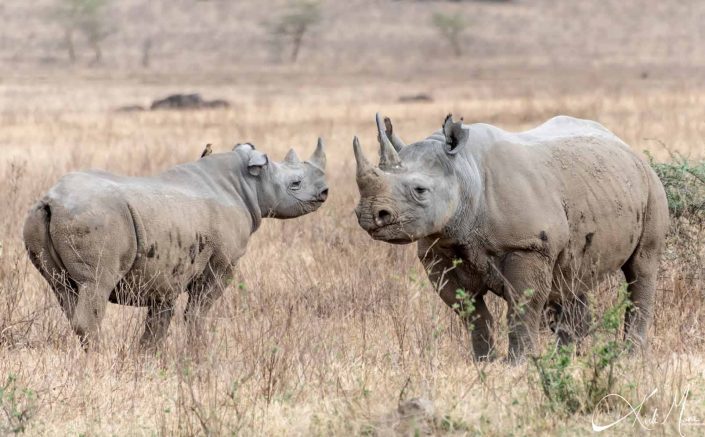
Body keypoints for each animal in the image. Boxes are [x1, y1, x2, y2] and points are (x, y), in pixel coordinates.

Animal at [23, 141, 328, 350]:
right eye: (295, 184)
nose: (325, 192)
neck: (246, 183)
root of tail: (51, 200)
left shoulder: (167, 268)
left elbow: (159, 319)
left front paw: (146, 359)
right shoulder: (222, 263)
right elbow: (197, 312)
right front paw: (199, 355)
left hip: (41, 220)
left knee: (63, 289)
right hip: (96, 217)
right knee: (96, 283)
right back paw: (100, 361)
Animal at [354, 112, 668, 362]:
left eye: (420, 190)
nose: (369, 214)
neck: (463, 171)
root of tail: (626, 146)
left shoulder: (528, 246)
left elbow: (522, 308)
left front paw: (519, 363)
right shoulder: (438, 251)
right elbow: (470, 312)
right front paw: (484, 362)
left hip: (651, 186)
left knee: (641, 267)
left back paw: (631, 355)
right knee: (571, 277)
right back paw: (571, 357)